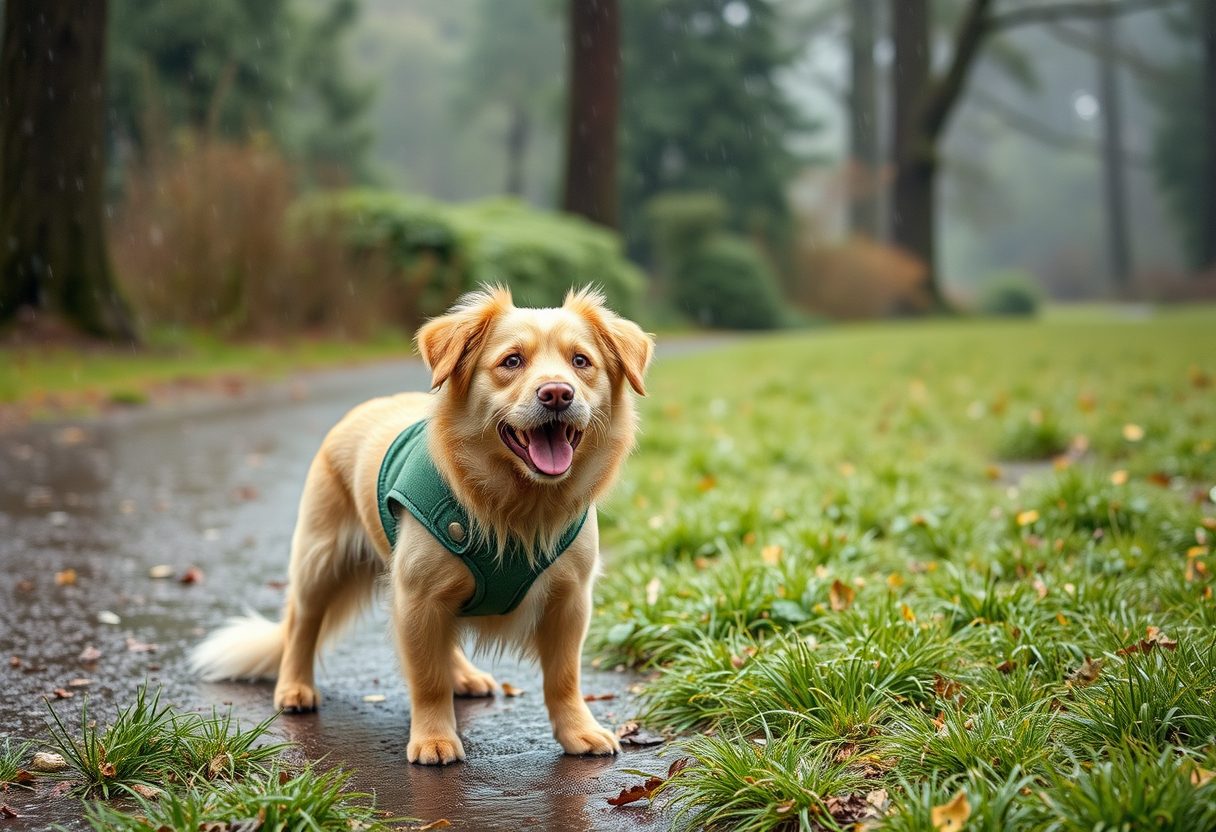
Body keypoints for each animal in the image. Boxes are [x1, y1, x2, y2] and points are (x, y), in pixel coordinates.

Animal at [192, 287, 656, 768]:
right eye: (511, 361)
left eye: (581, 361)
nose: (558, 393)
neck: (519, 507)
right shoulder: (418, 597)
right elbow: (427, 679)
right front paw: (434, 738)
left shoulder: (569, 601)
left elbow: (563, 678)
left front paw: (578, 732)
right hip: (319, 561)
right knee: (302, 624)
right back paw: (294, 687)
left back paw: (465, 677)